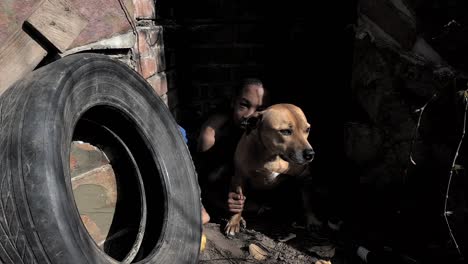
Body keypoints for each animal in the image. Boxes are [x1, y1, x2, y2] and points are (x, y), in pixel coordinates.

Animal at [223, 103, 318, 237]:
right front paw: (234, 222)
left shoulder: (304, 177)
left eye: (307, 129)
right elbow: (238, 204)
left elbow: (307, 202)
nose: (310, 154)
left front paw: (312, 220)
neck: (272, 156)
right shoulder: (239, 178)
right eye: (285, 131)